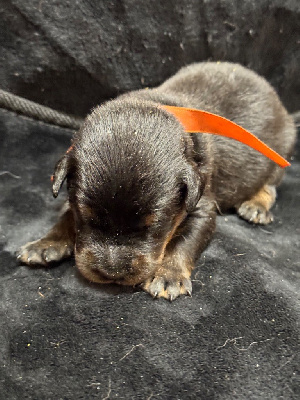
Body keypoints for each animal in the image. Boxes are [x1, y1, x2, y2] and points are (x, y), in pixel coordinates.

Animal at [17, 62, 296, 300]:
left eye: (152, 227)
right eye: (87, 218)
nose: (111, 273)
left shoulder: (202, 206)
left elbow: (185, 241)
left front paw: (168, 275)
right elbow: (65, 216)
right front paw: (45, 243)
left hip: (279, 154)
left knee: (269, 187)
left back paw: (256, 207)